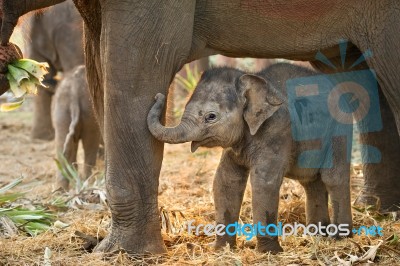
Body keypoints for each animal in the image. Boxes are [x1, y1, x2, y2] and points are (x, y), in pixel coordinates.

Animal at [148, 63, 352, 252]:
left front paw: (268, 252)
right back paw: (317, 236)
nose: (158, 96)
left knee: (333, 178)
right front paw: (222, 249)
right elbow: (225, 181)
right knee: (311, 182)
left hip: (339, 132)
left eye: (211, 116)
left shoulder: (277, 130)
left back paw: (341, 238)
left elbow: (264, 182)